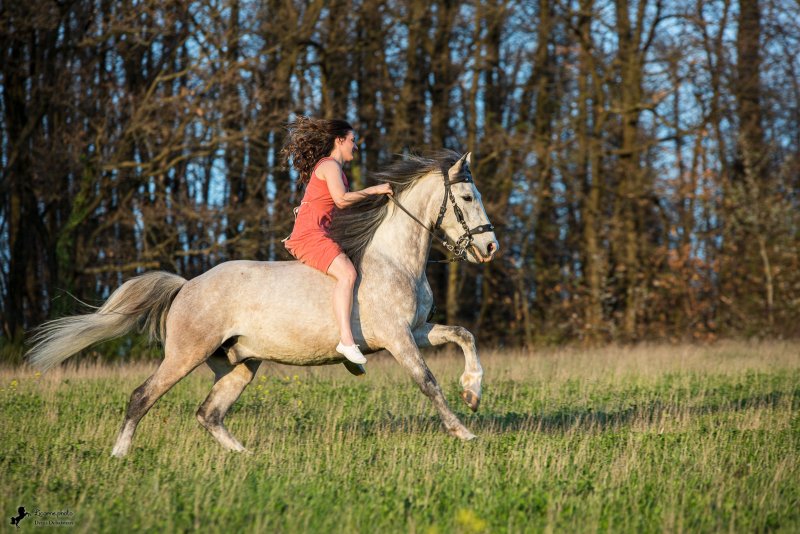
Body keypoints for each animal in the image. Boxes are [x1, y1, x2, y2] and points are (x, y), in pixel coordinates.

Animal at [26, 151, 499, 457]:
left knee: (209, 413)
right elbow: (428, 382)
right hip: (184, 355)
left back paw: (245, 456)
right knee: (143, 397)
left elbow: (464, 335)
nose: (490, 247)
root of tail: (186, 287)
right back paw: (120, 454)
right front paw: (463, 432)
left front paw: (473, 393)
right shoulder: (398, 338)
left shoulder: (416, 330)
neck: (396, 260)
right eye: (468, 198)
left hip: (240, 364)